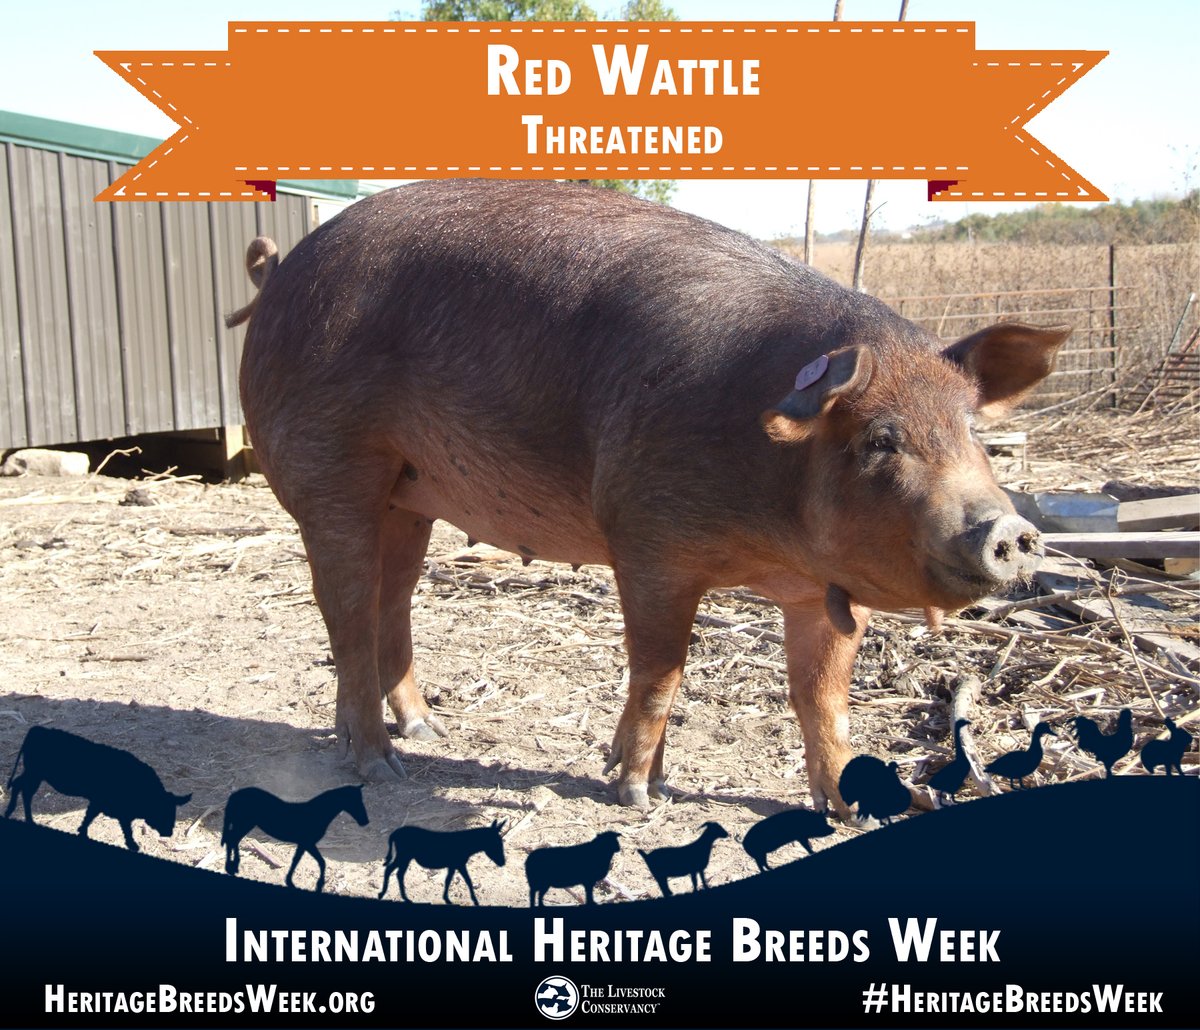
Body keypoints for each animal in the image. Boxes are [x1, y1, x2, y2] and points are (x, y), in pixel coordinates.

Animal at [4, 726, 191, 850]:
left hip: (33, 774)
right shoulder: (105, 804)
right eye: (162, 810)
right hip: (34, 773)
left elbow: (91, 817)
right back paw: (18, 815)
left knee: (20, 786)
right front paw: (132, 845)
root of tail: (37, 729)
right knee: (22, 789)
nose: (168, 832)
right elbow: (111, 823)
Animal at [231, 180, 1066, 815]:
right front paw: (635, 791)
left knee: (392, 599)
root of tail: (283, 274)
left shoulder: (825, 590)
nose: (1010, 530)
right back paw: (378, 765)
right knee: (344, 609)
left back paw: (427, 734)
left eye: (970, 429)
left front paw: (858, 809)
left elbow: (823, 700)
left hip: (410, 493)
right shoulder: (648, 539)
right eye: (882, 439)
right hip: (329, 466)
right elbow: (662, 668)